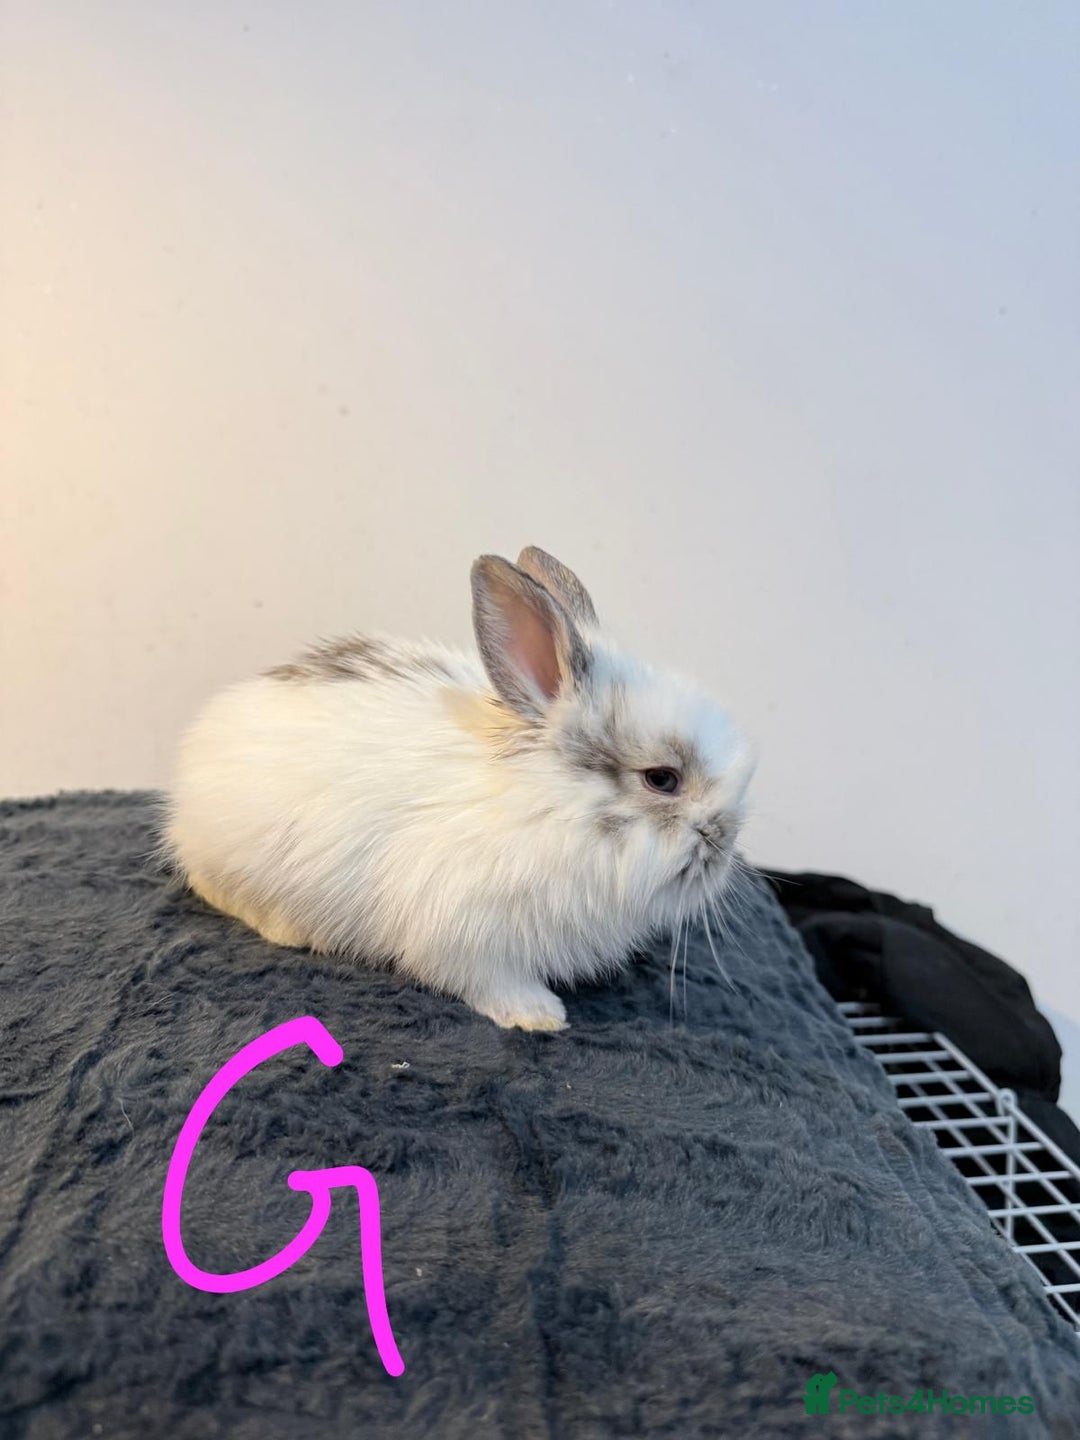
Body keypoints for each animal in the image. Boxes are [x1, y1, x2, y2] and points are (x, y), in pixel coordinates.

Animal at [163, 547, 755, 1031]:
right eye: (662, 779)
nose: (724, 844)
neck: (551, 806)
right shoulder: (464, 933)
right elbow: (489, 981)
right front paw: (540, 1016)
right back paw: (292, 930)